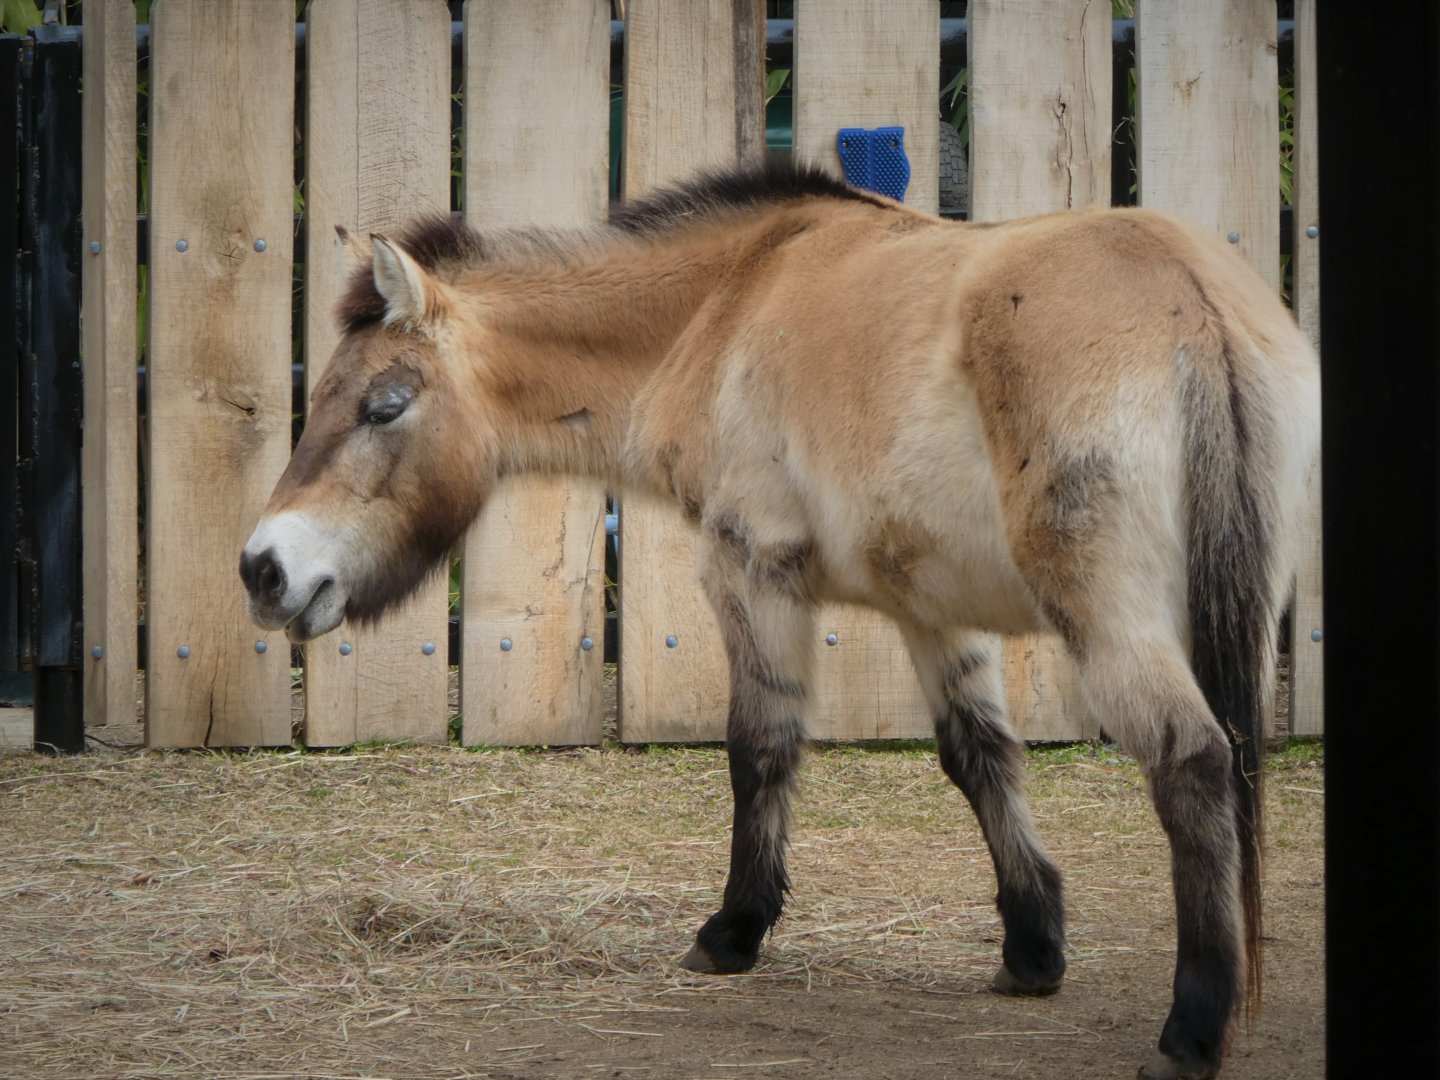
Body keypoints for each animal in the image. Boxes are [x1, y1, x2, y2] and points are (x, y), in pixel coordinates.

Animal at [240, 158, 1319, 1080]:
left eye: (384, 405)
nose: (264, 569)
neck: (730, 299)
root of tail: (1191, 303)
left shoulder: (752, 572)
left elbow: (760, 748)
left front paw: (732, 931)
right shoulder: (932, 608)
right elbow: (981, 758)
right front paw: (1032, 946)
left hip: (1112, 622)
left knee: (1193, 762)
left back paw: (1192, 1030)